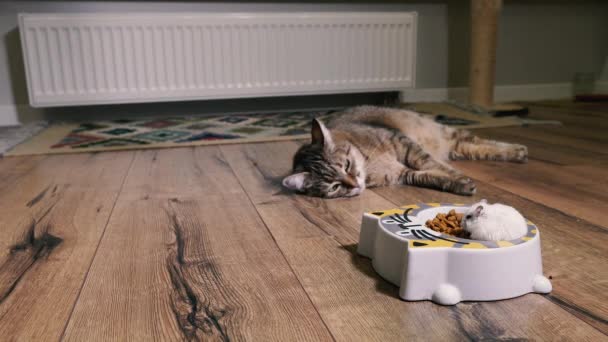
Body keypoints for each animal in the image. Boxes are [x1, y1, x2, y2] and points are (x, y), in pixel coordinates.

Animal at [282, 106, 524, 198]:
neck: (369, 165)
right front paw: (458, 184)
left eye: (347, 165)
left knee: (474, 140)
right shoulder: (403, 174)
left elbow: (432, 164)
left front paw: (457, 176)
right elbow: (430, 176)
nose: (355, 184)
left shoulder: (404, 144)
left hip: (444, 132)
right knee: (470, 147)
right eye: (334, 187)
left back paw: (516, 149)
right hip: (455, 145)